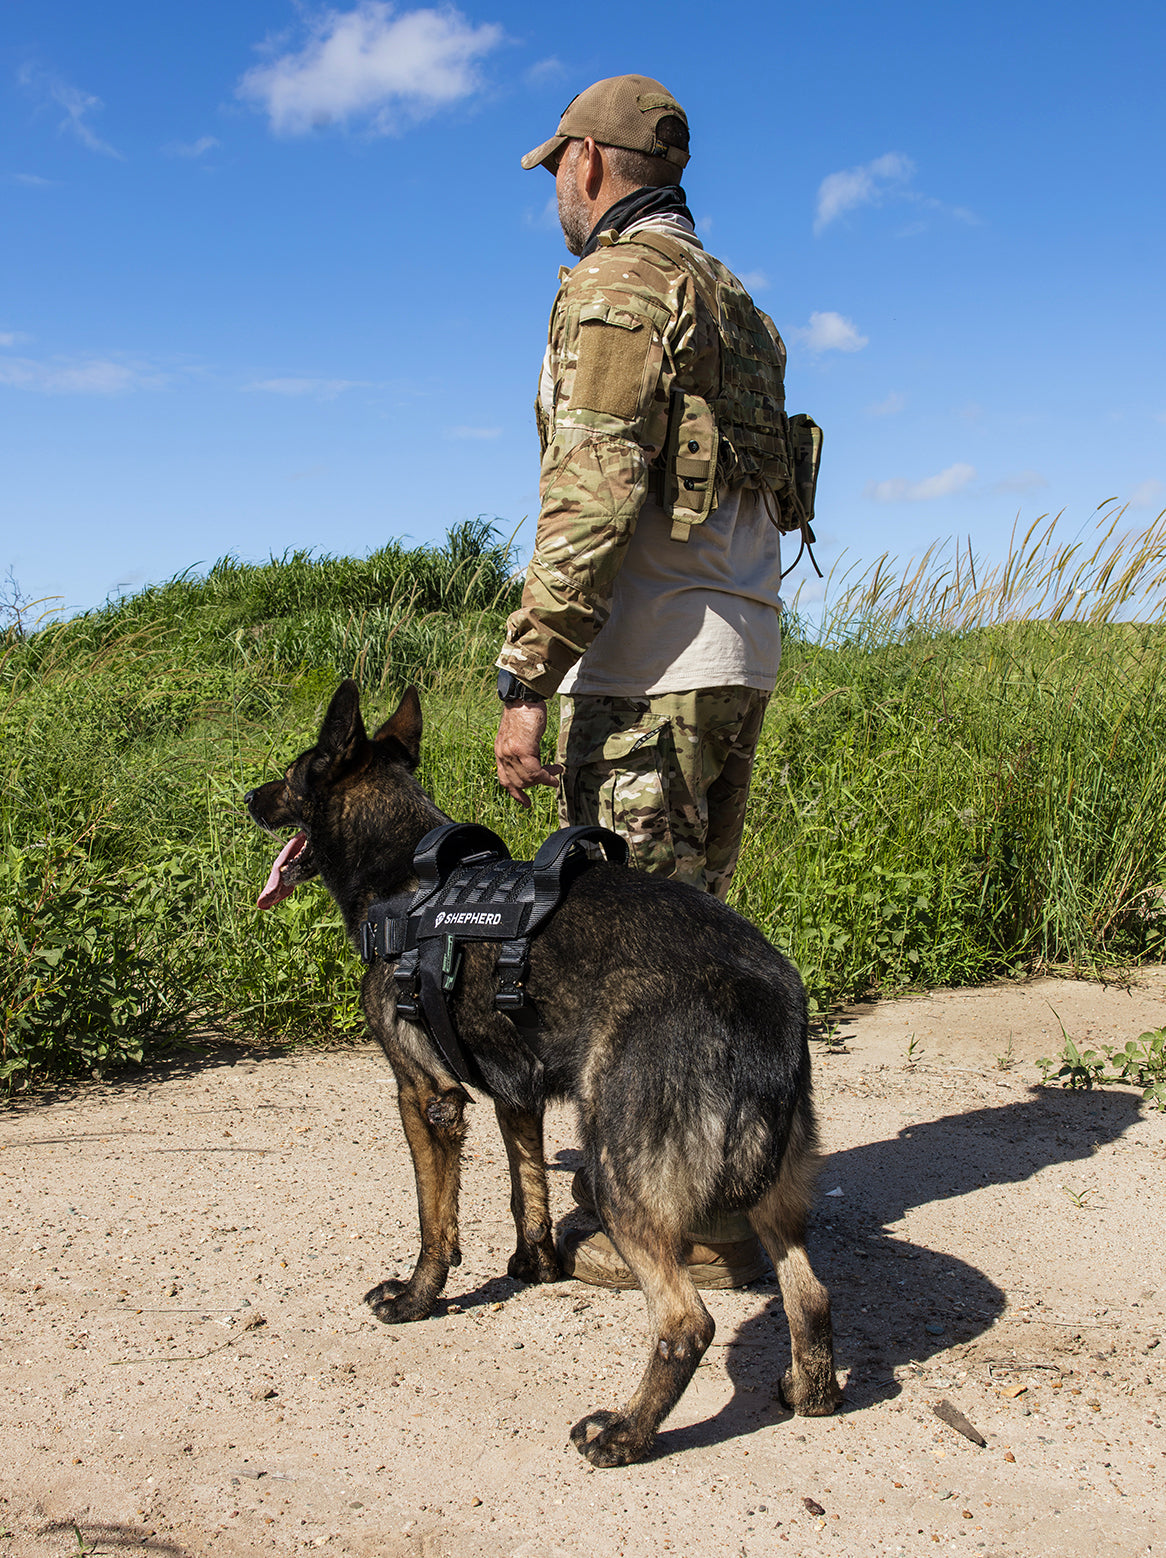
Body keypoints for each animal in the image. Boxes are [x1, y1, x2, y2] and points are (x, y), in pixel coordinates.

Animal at [246, 682, 835, 1458]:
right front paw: (535, 1268)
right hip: (775, 1190)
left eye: (290, 775)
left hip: (619, 1175)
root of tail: (765, 995)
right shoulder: (512, 1094)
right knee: (810, 1294)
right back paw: (811, 1393)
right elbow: (527, 1189)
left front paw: (416, 1298)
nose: (248, 798)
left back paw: (625, 1433)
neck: (404, 877)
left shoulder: (426, 1097)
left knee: (686, 1323)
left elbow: (435, 1222)